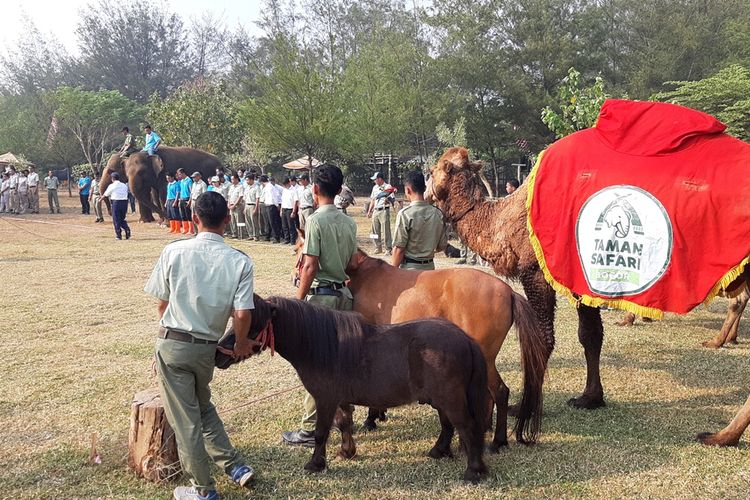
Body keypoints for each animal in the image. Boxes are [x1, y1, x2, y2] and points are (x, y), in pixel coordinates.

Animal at [217, 294, 490, 482]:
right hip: (441, 400)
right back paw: (438, 451)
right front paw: (346, 452)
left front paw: (316, 464)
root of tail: (466, 339)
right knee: (448, 425)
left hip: (450, 398)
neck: (326, 348)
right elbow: (344, 424)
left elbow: (321, 433)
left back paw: (472, 471)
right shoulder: (340, 399)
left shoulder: (325, 399)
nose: (218, 355)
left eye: (251, 325)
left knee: (466, 427)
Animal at [292, 234, 548, 450]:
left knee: (500, 393)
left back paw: (498, 440)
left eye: (297, 249)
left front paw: (372, 417)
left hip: (485, 357)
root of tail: (508, 291)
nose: (297, 279)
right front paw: (378, 413)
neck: (363, 275)